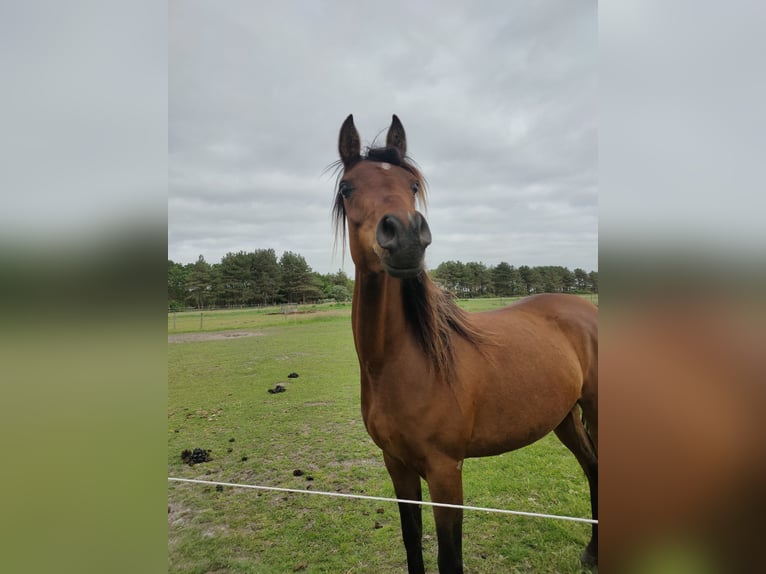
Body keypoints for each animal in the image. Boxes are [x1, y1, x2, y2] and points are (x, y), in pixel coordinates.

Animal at [332, 115, 596, 572]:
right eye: (348, 187)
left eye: (412, 185)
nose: (405, 235)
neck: (401, 363)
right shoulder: (396, 466)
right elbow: (412, 541)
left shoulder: (445, 472)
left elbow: (449, 558)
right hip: (565, 418)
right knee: (593, 468)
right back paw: (592, 552)